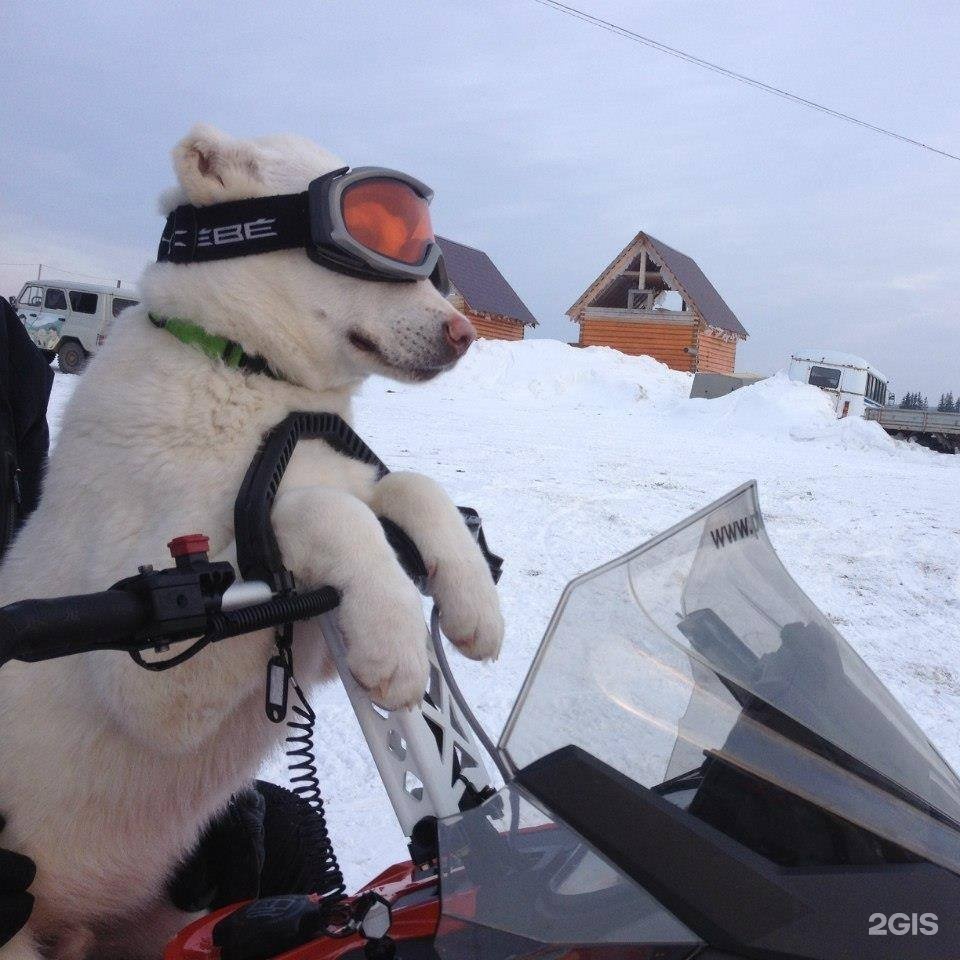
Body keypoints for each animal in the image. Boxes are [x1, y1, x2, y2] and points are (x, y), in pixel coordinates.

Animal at [0, 125, 506, 960]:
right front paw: (396, 642)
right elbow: (320, 510)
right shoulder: (159, 671)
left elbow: (407, 488)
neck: (252, 376)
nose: (467, 333)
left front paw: (472, 600)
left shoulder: (308, 632)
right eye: (374, 232)